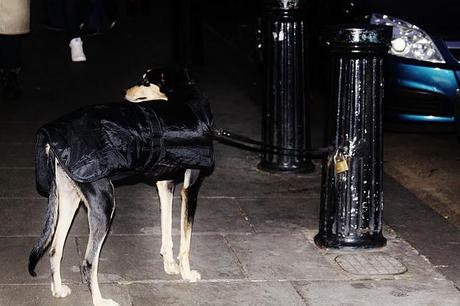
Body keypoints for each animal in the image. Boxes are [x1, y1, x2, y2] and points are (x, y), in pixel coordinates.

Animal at [27, 69, 215, 306]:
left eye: (146, 81)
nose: (124, 91)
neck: (184, 101)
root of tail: (52, 139)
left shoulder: (165, 184)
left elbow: (166, 229)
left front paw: (170, 266)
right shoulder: (190, 189)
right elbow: (186, 242)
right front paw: (187, 273)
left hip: (70, 199)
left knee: (54, 249)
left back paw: (58, 289)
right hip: (104, 205)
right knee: (88, 263)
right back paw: (99, 300)